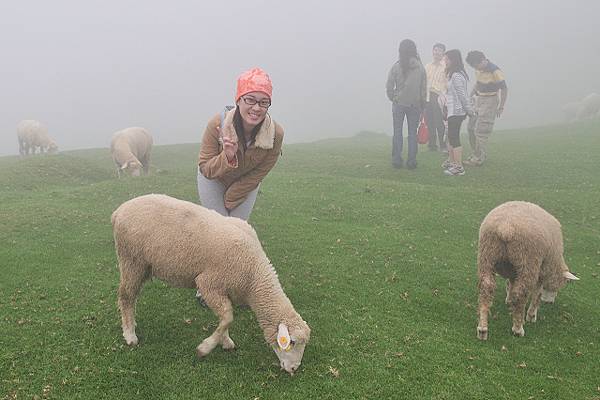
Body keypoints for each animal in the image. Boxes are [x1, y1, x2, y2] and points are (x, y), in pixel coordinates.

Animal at [109, 195, 312, 376]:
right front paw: (205, 348)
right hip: (131, 259)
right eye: (291, 342)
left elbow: (226, 317)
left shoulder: (226, 290)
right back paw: (130, 335)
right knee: (126, 297)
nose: (294, 369)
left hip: (142, 265)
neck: (253, 276)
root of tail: (119, 210)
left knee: (132, 297)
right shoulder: (208, 284)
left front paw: (225, 341)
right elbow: (228, 317)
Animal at [476, 202, 580, 340]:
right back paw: (518, 329)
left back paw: (482, 329)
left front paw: (509, 301)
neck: (555, 264)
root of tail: (506, 228)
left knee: (486, 289)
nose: (549, 302)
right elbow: (537, 294)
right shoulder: (542, 270)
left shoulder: (514, 271)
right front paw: (531, 316)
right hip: (528, 261)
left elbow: (510, 284)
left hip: (487, 256)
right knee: (521, 295)